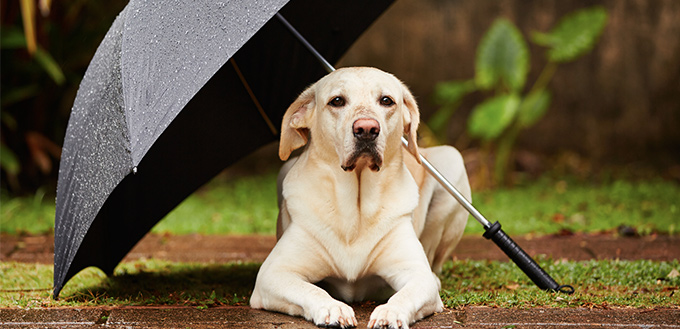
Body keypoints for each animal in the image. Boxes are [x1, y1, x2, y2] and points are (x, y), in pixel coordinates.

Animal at [251, 67, 472, 328]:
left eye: (386, 100)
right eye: (337, 101)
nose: (366, 129)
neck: (355, 209)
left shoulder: (417, 274)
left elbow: (407, 293)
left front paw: (390, 313)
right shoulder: (272, 274)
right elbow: (312, 289)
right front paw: (332, 308)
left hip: (453, 161)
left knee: (433, 266)